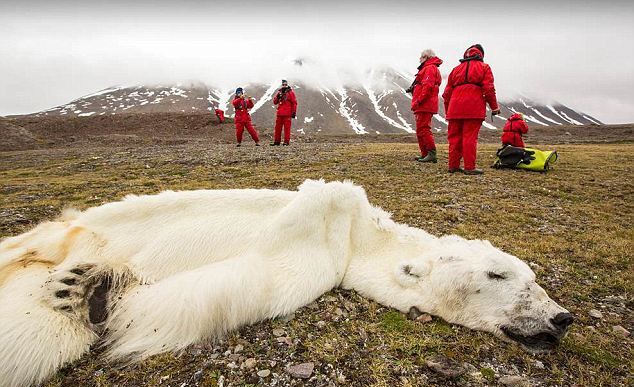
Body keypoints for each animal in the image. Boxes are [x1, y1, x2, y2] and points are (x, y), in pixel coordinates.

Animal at [0, 180, 572, 386]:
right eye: (498, 273)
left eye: (532, 276)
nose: (561, 317)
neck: (357, 235)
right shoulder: (323, 227)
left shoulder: (317, 260)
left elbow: (231, 285)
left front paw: (99, 292)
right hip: (65, 231)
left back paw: (78, 289)